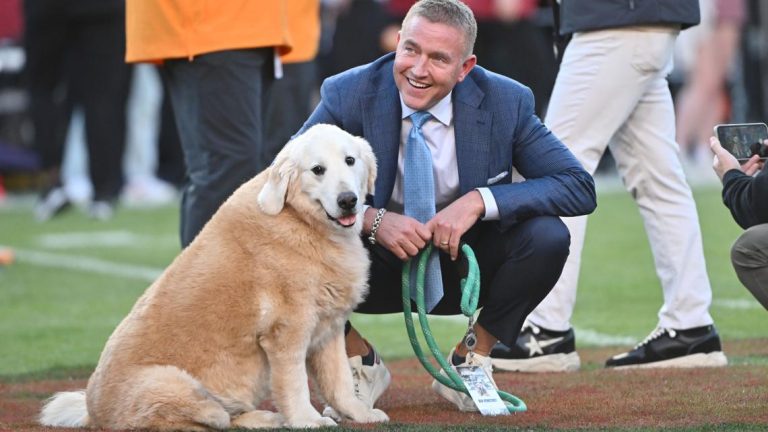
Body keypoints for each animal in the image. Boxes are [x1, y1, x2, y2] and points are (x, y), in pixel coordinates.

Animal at [40, 124, 390, 428]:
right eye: (317, 170)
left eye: (350, 160)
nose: (348, 200)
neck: (301, 220)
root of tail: (92, 414)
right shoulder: (287, 332)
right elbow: (294, 385)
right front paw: (307, 420)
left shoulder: (329, 329)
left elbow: (339, 382)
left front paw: (359, 413)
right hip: (171, 381)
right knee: (205, 419)